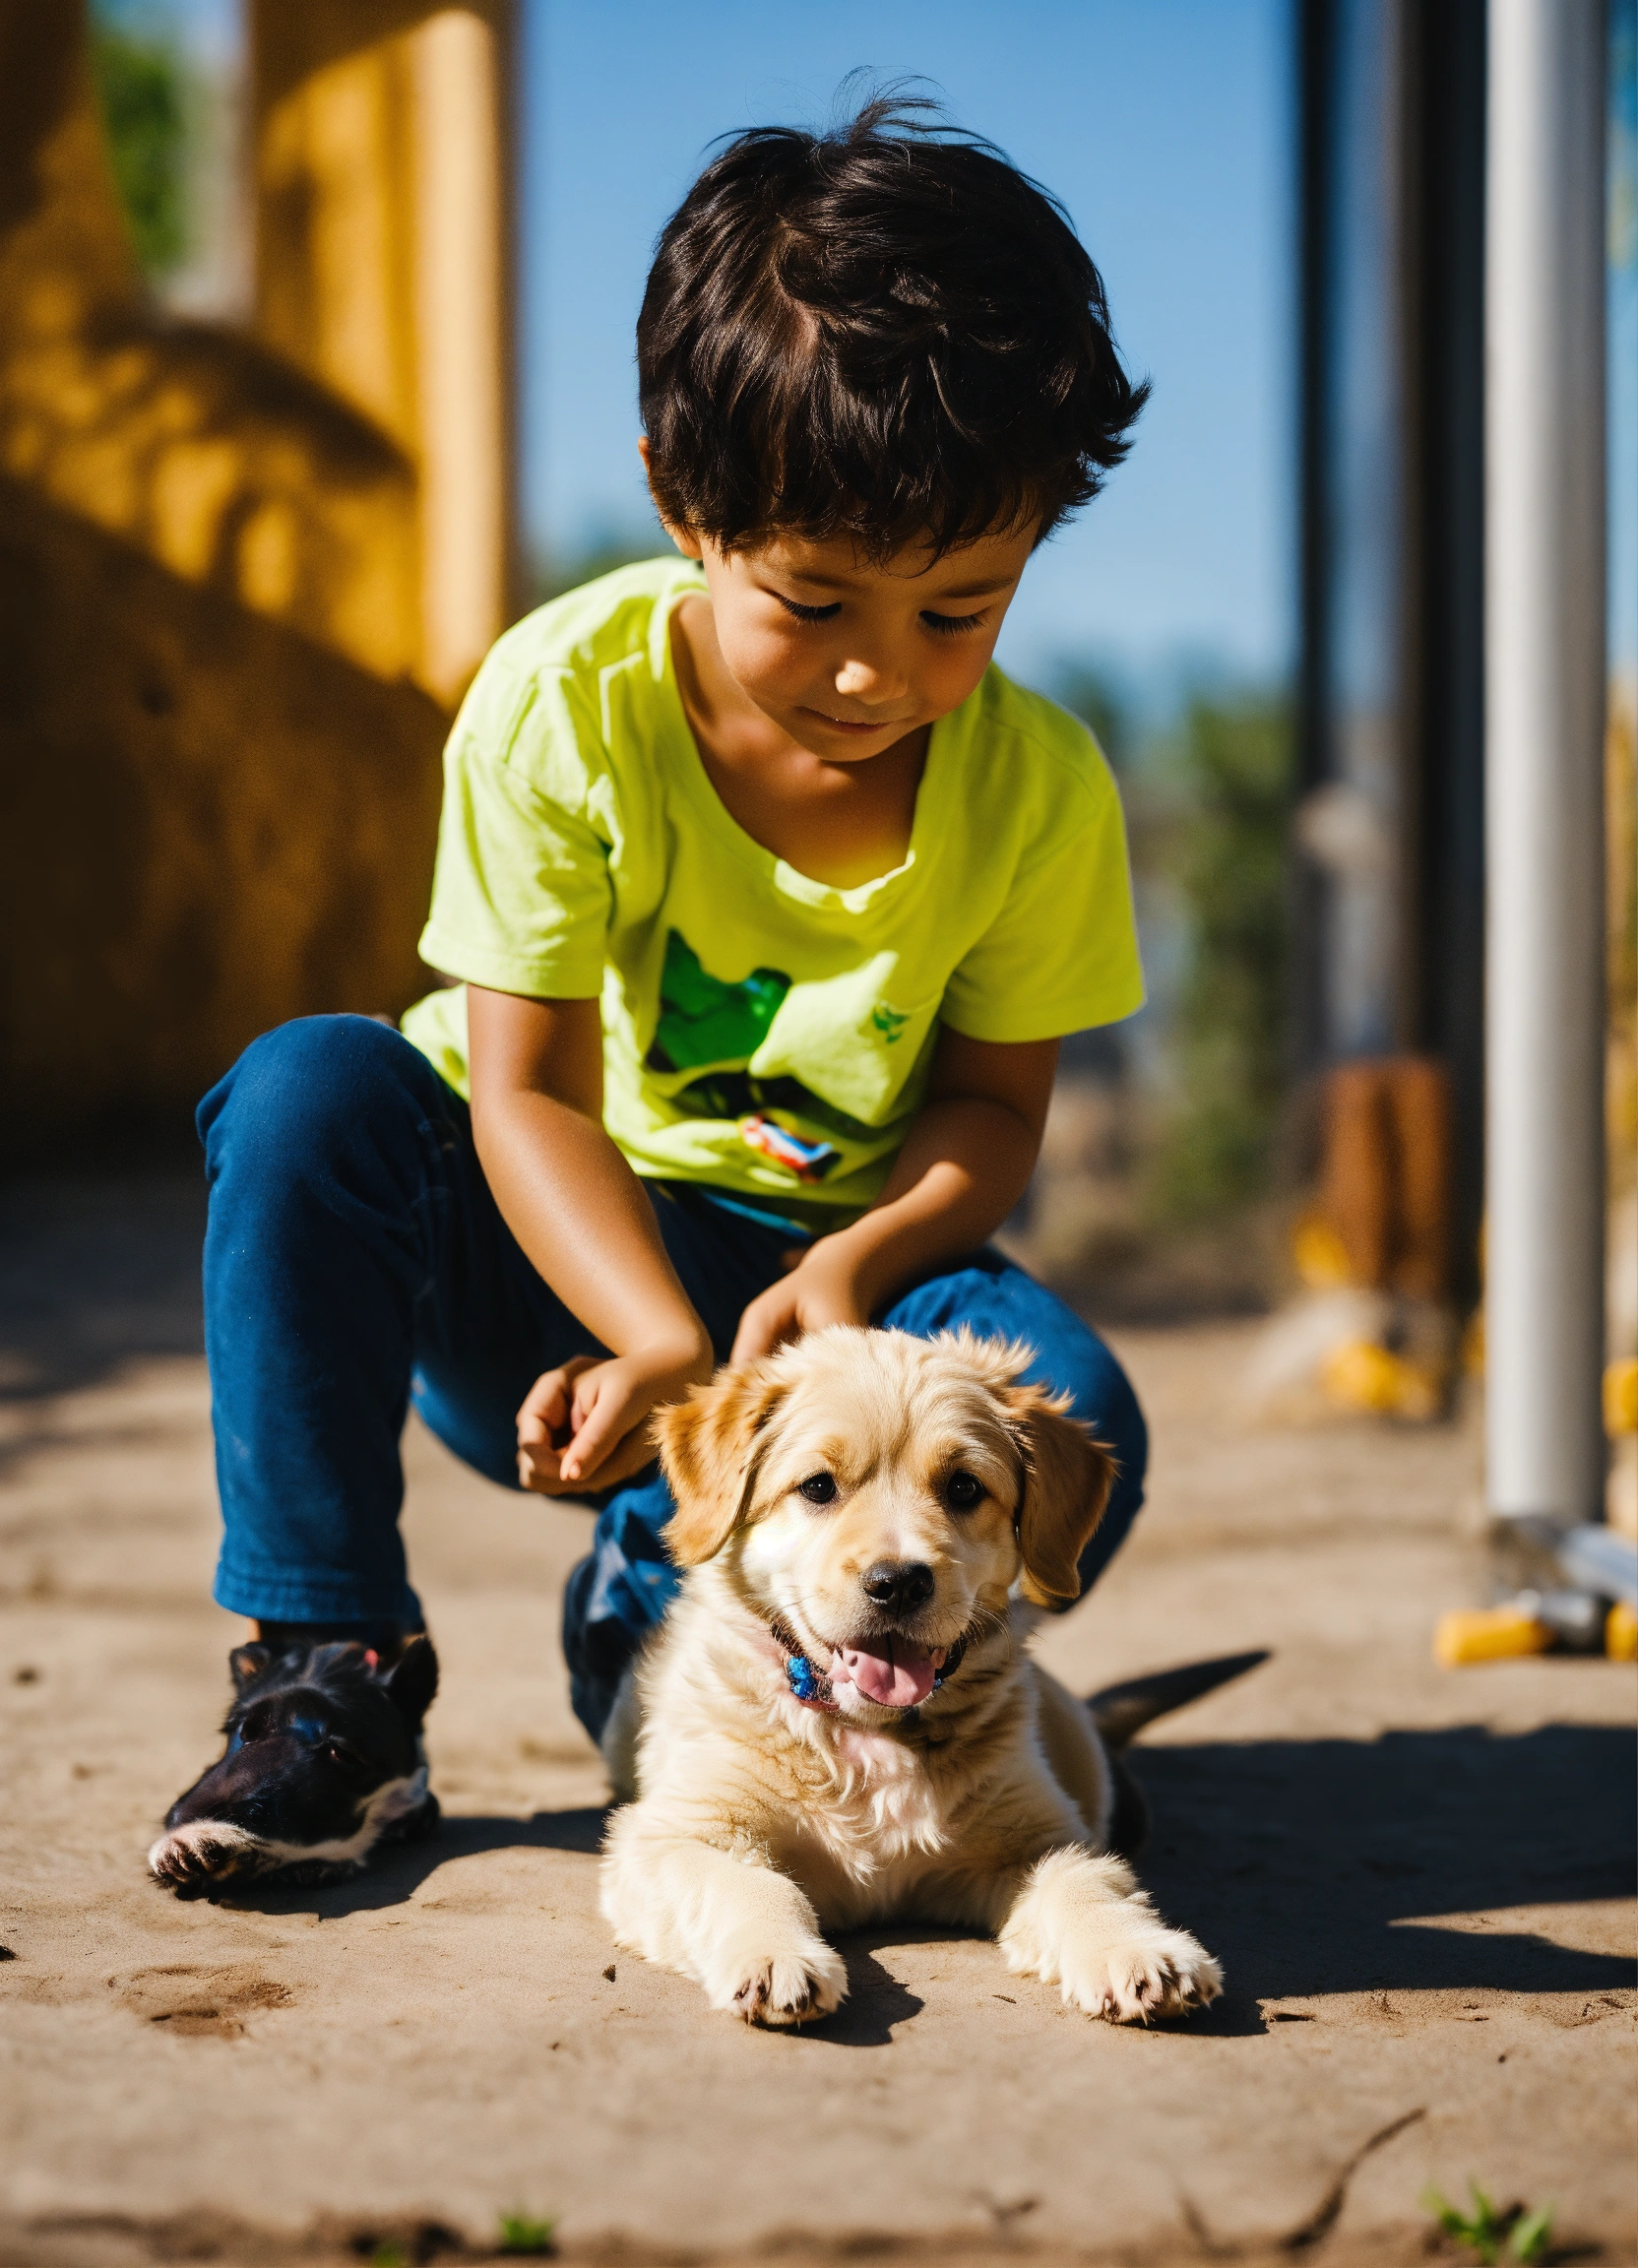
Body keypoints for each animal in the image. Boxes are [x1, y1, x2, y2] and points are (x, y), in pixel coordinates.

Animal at [594, 1324, 1216, 2032]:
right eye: (817, 1487)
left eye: (964, 1488)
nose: (898, 1583)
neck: (873, 1736)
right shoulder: (675, 1834)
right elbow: (746, 1882)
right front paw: (775, 1956)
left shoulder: (1041, 1840)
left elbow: (1088, 1887)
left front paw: (1136, 1952)